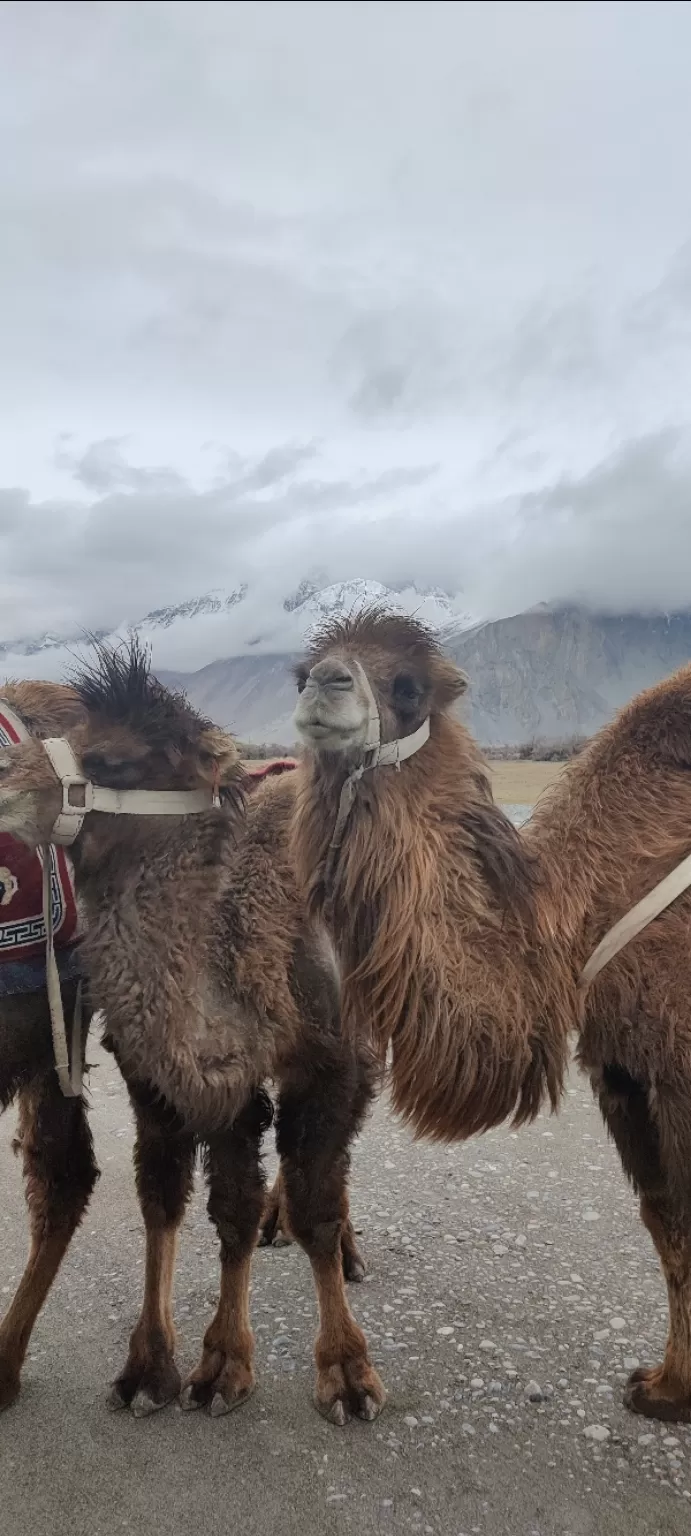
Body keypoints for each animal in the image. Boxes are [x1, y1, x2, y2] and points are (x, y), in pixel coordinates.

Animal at [0, 654, 380, 1419]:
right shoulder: (169, 1081)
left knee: (335, 1167)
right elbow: (187, 1203)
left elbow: (318, 1208)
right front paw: (185, 1368)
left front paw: (347, 1373)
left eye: (111, 758)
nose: (0, 783)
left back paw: (346, 1253)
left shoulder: (332, 1062)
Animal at [291, 608, 691, 1425]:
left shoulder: (680, 1059)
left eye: (408, 686)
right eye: (300, 671)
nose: (325, 683)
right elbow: (665, 1221)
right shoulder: (625, 1067)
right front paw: (668, 1390)